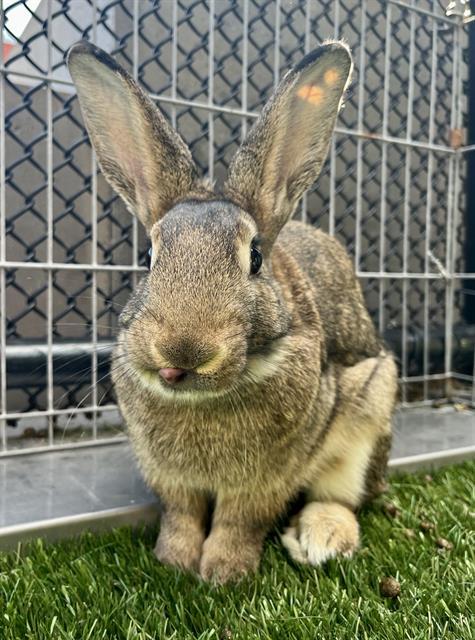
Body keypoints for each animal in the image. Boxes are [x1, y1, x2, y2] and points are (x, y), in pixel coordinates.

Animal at [67, 39, 397, 584]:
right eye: (149, 256)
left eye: (255, 258)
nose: (183, 351)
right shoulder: (171, 478)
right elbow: (181, 515)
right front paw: (175, 561)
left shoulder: (267, 478)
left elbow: (240, 521)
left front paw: (224, 573)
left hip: (370, 408)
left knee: (348, 496)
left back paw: (321, 538)